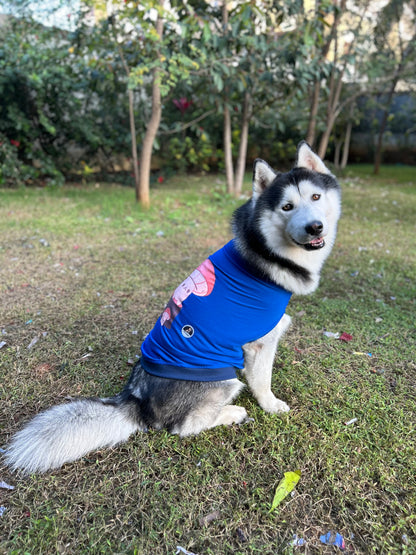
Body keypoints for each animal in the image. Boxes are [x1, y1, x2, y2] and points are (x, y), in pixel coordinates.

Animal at [3, 142, 342, 474]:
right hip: (223, 381)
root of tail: (137, 401)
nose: (315, 228)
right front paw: (271, 405)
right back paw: (232, 412)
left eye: (315, 197)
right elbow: (261, 381)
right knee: (185, 426)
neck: (268, 250)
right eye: (287, 207)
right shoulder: (261, 340)